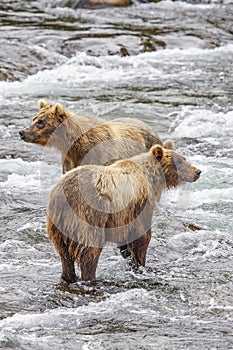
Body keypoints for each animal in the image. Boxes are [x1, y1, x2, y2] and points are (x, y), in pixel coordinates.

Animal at [46, 144, 200, 284]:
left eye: (184, 159)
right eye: (180, 161)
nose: (197, 171)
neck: (151, 179)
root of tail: (60, 195)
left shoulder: (123, 218)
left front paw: (130, 260)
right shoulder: (140, 206)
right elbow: (142, 237)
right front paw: (141, 265)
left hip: (59, 225)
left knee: (64, 255)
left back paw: (68, 276)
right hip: (89, 215)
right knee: (90, 250)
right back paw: (90, 277)